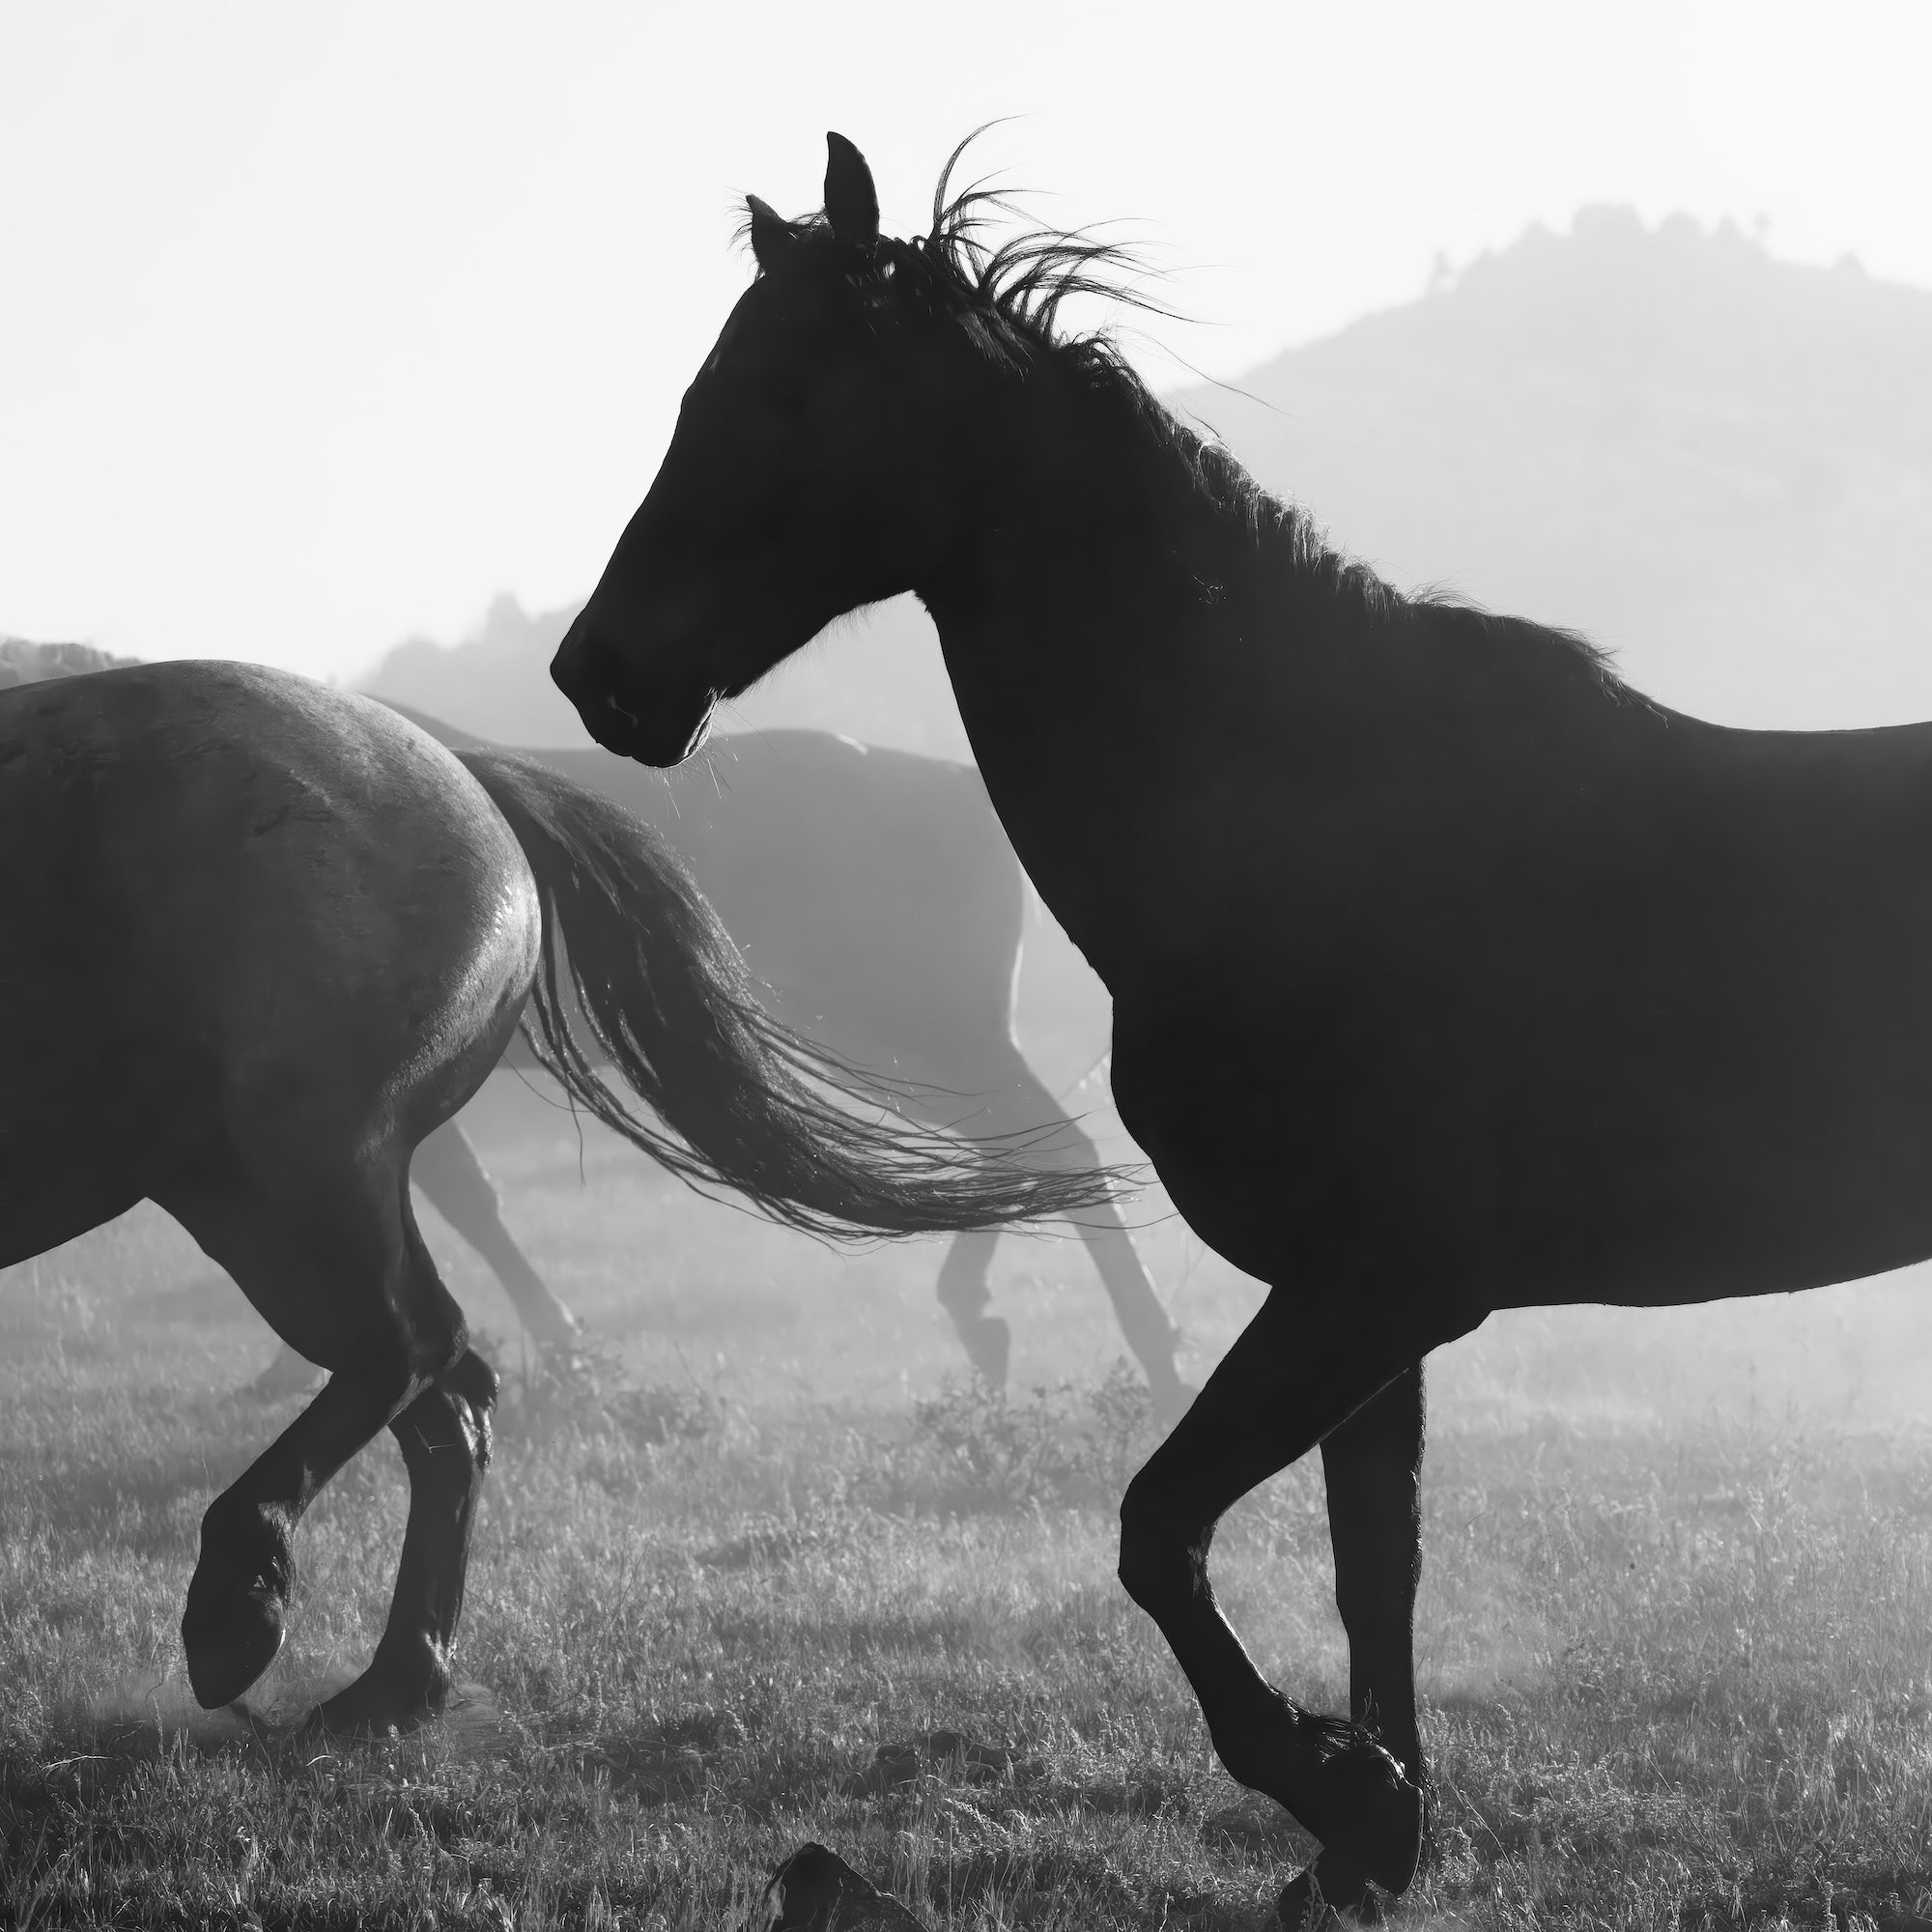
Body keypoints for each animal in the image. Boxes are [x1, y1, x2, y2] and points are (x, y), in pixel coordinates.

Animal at [0, 658, 1109, 1733]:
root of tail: (459, 772)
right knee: (443, 1389)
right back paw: (391, 1681)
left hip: (285, 1177)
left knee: (414, 1349)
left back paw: (245, 1609)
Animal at [544, 132, 1932, 1919]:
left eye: (783, 389)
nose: (600, 676)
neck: (1301, 835)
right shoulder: (1371, 1318)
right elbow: (1368, 1568)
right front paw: (1369, 1828)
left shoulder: (1372, 1292)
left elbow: (1162, 1531)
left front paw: (1336, 1787)